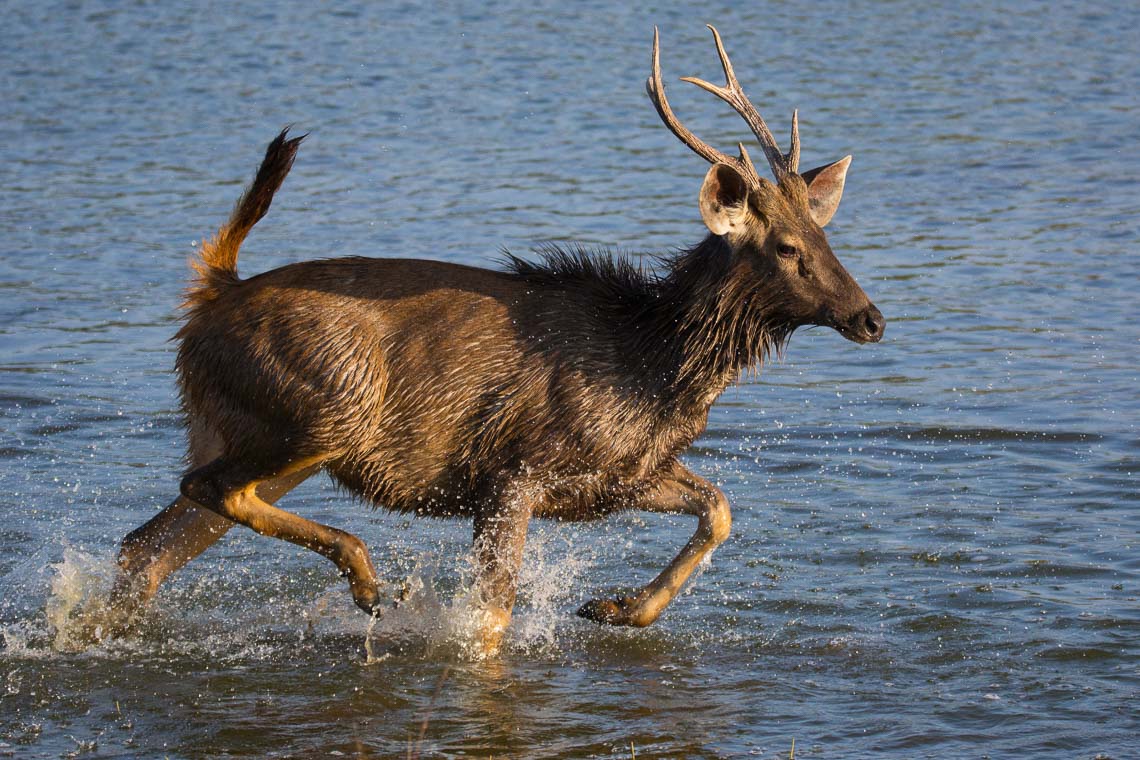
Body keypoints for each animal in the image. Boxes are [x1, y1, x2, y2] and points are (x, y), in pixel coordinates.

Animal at [107, 25, 884, 656]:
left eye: (827, 237)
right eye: (786, 247)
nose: (871, 317)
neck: (653, 365)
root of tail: (210, 296)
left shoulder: (622, 476)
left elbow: (719, 509)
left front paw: (615, 607)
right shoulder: (514, 471)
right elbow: (489, 621)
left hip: (242, 425)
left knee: (145, 545)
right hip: (324, 408)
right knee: (200, 493)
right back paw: (368, 579)